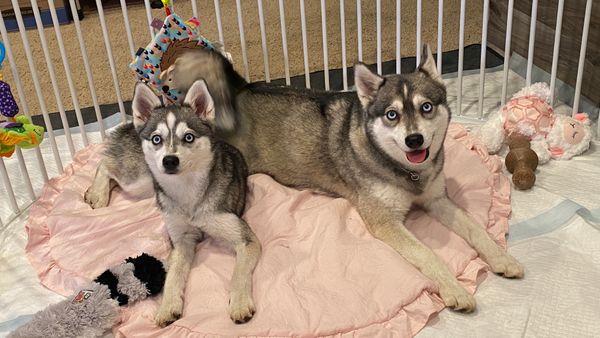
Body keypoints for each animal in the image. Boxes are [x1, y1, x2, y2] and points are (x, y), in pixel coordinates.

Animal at [83, 80, 262, 326]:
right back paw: (98, 193)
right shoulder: (181, 240)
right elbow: (173, 276)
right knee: (106, 164)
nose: (169, 160)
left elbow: (239, 273)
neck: (187, 194)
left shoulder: (244, 238)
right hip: (141, 180)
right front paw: (167, 306)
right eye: (157, 139)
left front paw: (240, 303)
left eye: (189, 137)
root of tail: (131, 125)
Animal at [158, 44, 520, 312]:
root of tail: (243, 88)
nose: (414, 140)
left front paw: (502, 258)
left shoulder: (437, 199)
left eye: (427, 107)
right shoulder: (386, 222)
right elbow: (428, 254)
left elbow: (476, 229)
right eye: (392, 115)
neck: (407, 173)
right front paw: (453, 289)